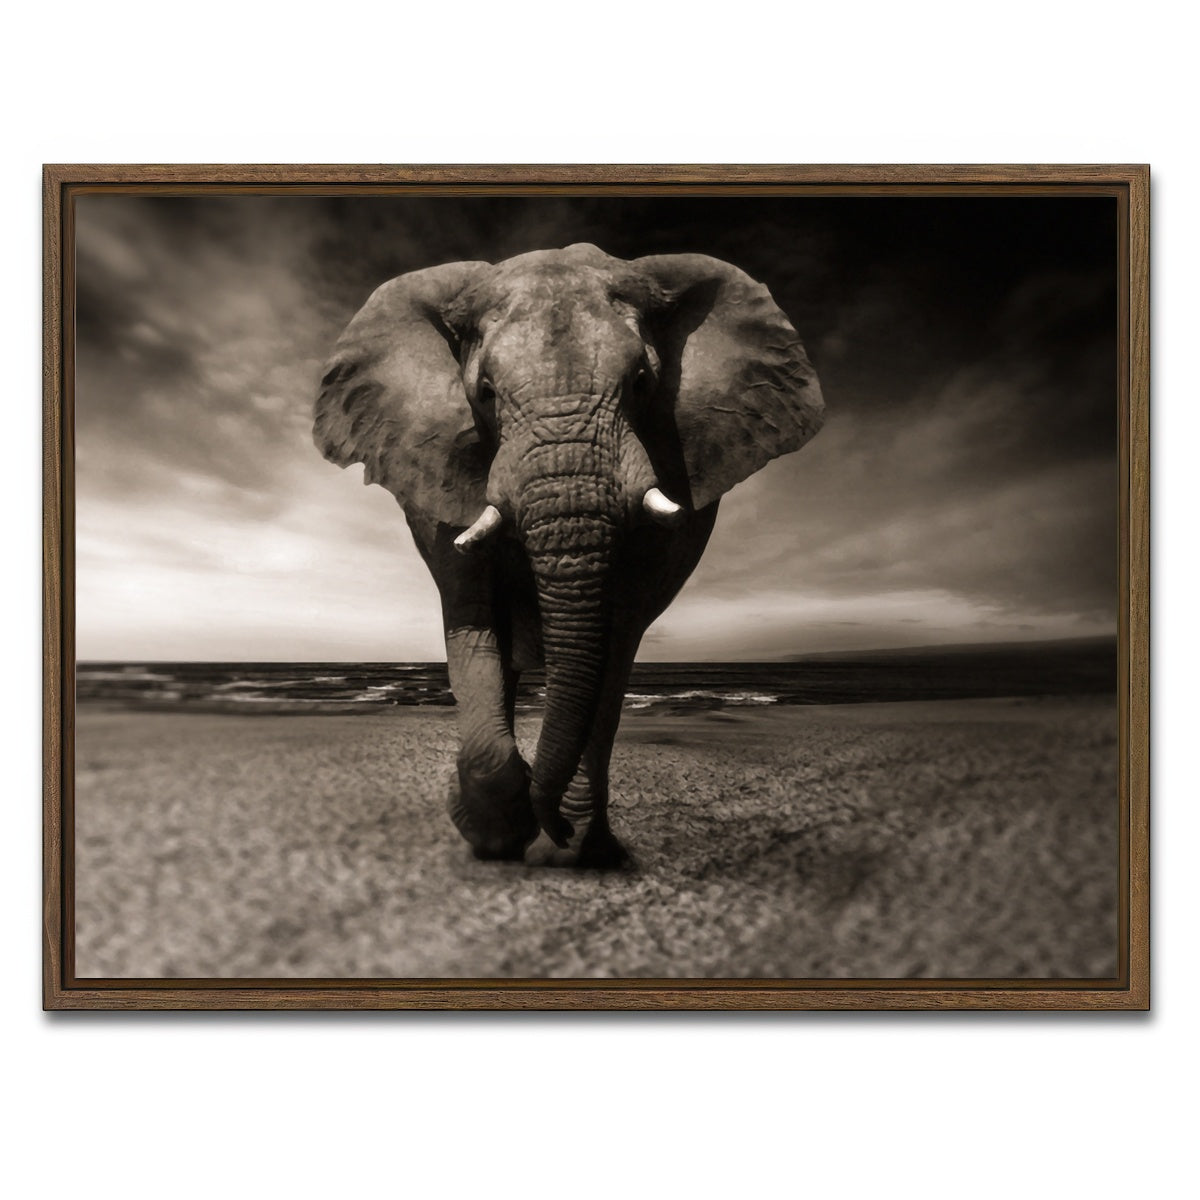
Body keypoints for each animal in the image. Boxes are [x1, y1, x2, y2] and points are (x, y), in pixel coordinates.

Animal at [313, 243, 824, 867]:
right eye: (485, 393)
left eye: (641, 382)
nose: (550, 823)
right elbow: (473, 617)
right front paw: (497, 834)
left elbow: (615, 635)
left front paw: (569, 843)